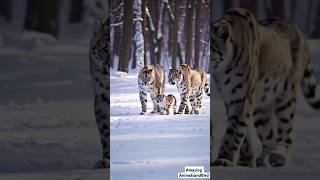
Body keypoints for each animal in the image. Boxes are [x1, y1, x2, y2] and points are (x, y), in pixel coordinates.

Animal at [211, 7, 318, 168]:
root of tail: (299, 30)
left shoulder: (241, 97)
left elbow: (234, 130)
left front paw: (224, 159)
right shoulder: (230, 98)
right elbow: (243, 133)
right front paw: (245, 161)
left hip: (286, 97)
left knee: (286, 133)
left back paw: (279, 156)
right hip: (261, 108)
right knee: (270, 135)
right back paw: (262, 160)